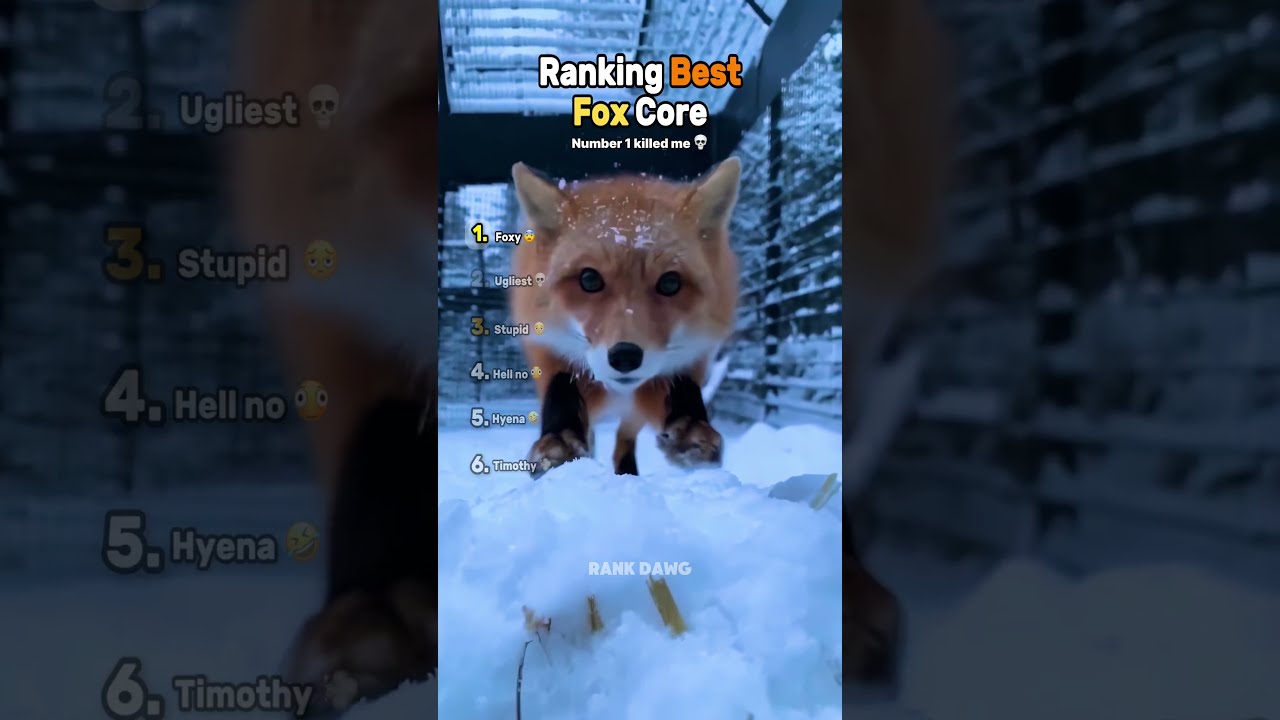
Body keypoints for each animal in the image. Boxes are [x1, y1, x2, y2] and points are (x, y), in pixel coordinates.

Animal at [507, 158, 742, 477]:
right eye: (589, 279)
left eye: (670, 283)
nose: (626, 356)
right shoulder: (547, 346)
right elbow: (560, 388)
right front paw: (558, 438)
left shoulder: (690, 357)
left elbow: (684, 388)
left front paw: (692, 427)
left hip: (633, 413)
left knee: (624, 439)